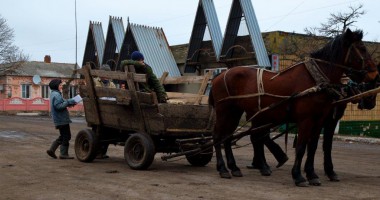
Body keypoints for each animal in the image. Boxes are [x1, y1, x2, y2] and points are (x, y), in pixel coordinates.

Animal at [209, 28, 378, 187]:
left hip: (236, 112)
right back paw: (223, 168)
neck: (316, 80)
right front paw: (298, 176)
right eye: (362, 48)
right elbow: (302, 146)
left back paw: (235, 167)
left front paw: (312, 174)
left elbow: (313, 146)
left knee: (229, 137)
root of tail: (219, 75)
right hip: (225, 110)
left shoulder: (320, 120)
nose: (375, 75)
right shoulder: (306, 120)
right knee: (219, 136)